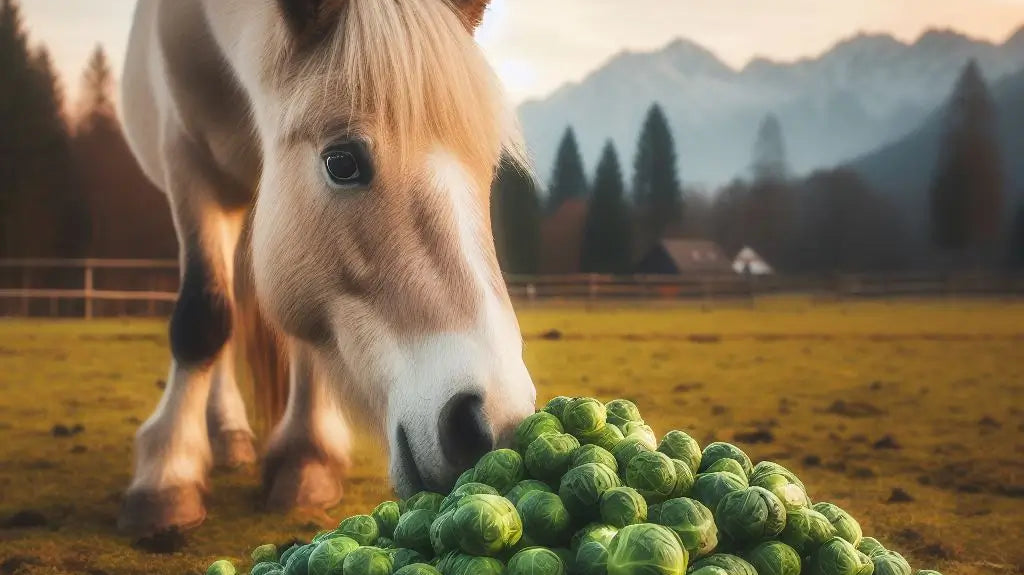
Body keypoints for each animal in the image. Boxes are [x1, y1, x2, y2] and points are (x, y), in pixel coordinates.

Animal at [117, 0, 537, 535]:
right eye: (342, 162)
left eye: (488, 169)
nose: (497, 422)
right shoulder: (188, 163)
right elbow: (203, 318)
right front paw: (168, 475)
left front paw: (307, 458)